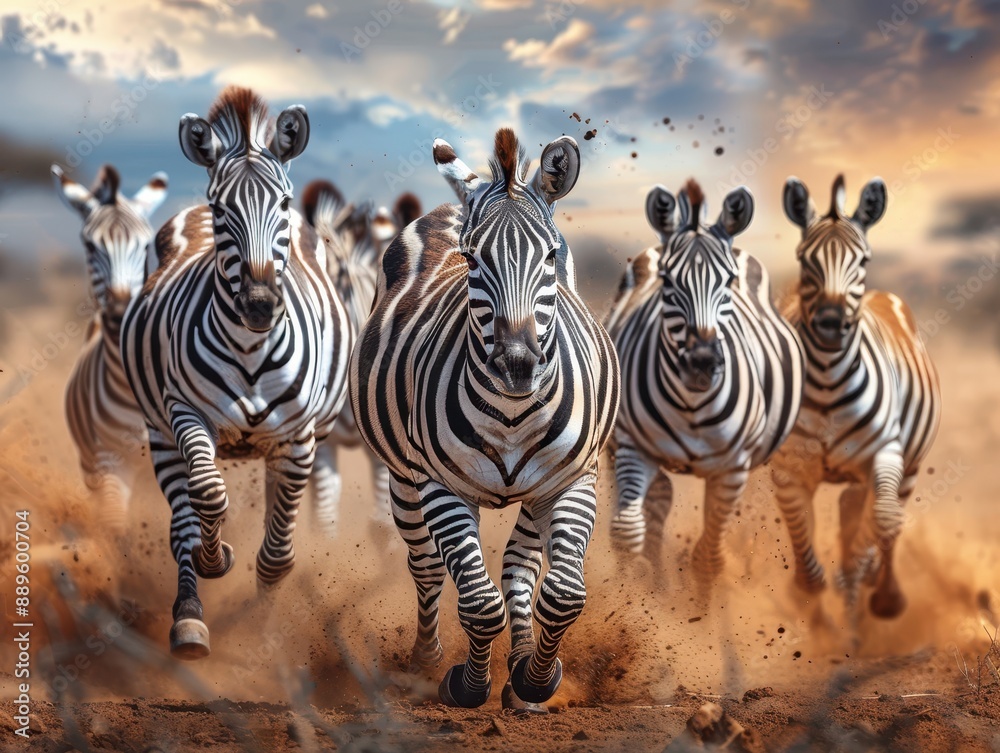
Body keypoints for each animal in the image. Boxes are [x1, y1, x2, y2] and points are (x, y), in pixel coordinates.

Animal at [121, 86, 351, 658]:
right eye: (222, 210)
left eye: (285, 205)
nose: (260, 305)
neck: (250, 350)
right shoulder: (185, 413)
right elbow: (208, 497)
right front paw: (216, 557)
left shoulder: (299, 438)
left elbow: (278, 555)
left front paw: (262, 635)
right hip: (160, 433)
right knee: (182, 523)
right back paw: (189, 618)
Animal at [351, 128, 619, 709]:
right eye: (472, 258)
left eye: (550, 255)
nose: (517, 364)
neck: (513, 413)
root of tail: (457, 199)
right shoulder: (440, 486)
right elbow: (477, 602)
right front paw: (467, 685)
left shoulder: (573, 481)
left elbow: (562, 595)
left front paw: (535, 680)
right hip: (404, 479)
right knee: (427, 569)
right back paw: (425, 661)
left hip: (537, 491)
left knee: (519, 566)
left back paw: (520, 664)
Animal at [605, 180, 804, 592]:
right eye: (666, 281)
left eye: (728, 281)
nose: (701, 363)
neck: (692, 406)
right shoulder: (633, 446)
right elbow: (626, 534)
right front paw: (633, 602)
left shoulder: (733, 468)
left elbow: (708, 558)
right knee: (656, 504)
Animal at [770, 175, 940, 618]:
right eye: (804, 260)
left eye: (862, 259)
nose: (831, 324)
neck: (829, 379)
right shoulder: (789, 469)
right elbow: (802, 539)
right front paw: (810, 603)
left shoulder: (886, 453)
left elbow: (880, 522)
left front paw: (871, 588)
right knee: (851, 506)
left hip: (910, 464)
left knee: (887, 519)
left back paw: (875, 585)